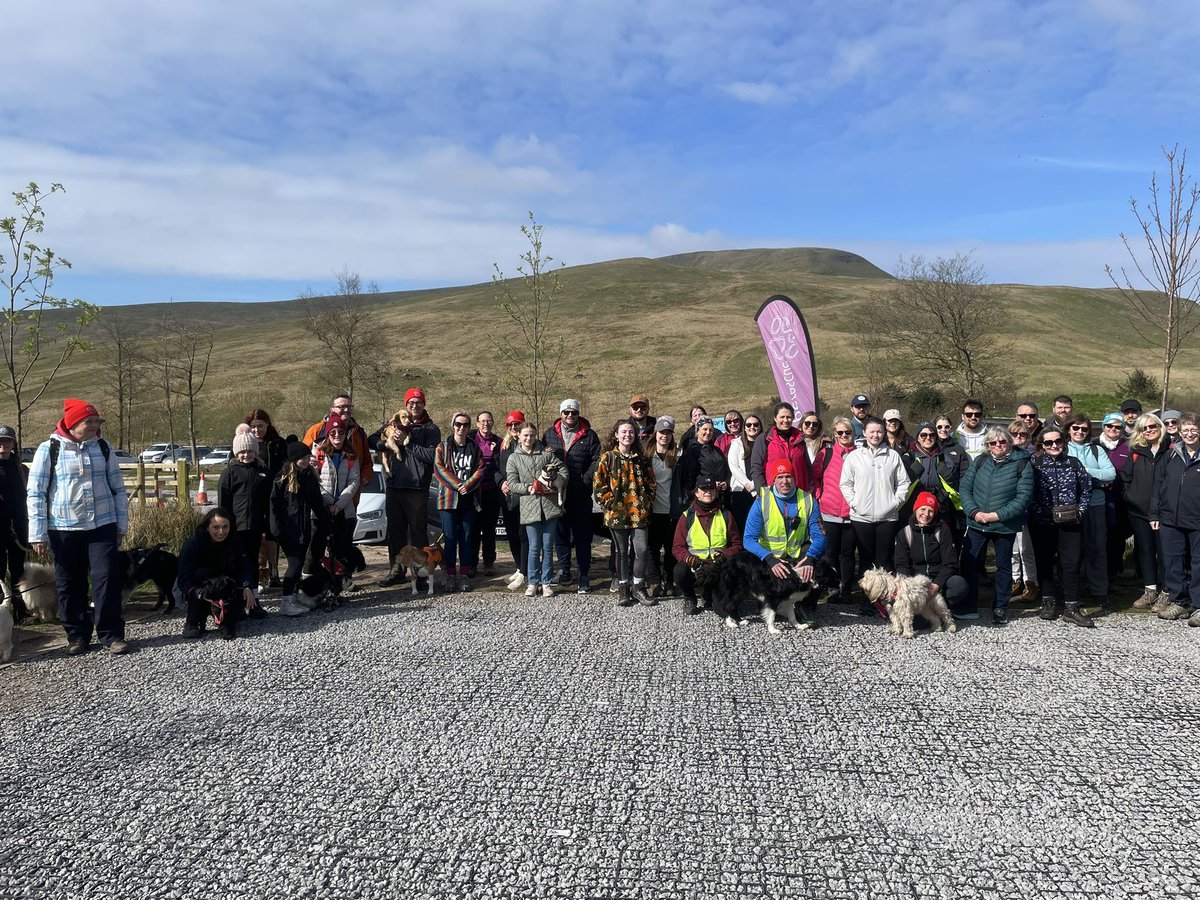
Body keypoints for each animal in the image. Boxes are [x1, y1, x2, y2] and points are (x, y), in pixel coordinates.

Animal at [691, 549, 820, 633]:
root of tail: (723, 562)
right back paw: (731, 623)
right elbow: (772, 615)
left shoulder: (788, 599)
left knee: (733, 606)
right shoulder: (773, 597)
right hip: (737, 589)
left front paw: (799, 626)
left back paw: (741, 621)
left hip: (741, 591)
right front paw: (773, 630)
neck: (797, 575)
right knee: (728, 606)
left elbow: (792, 615)